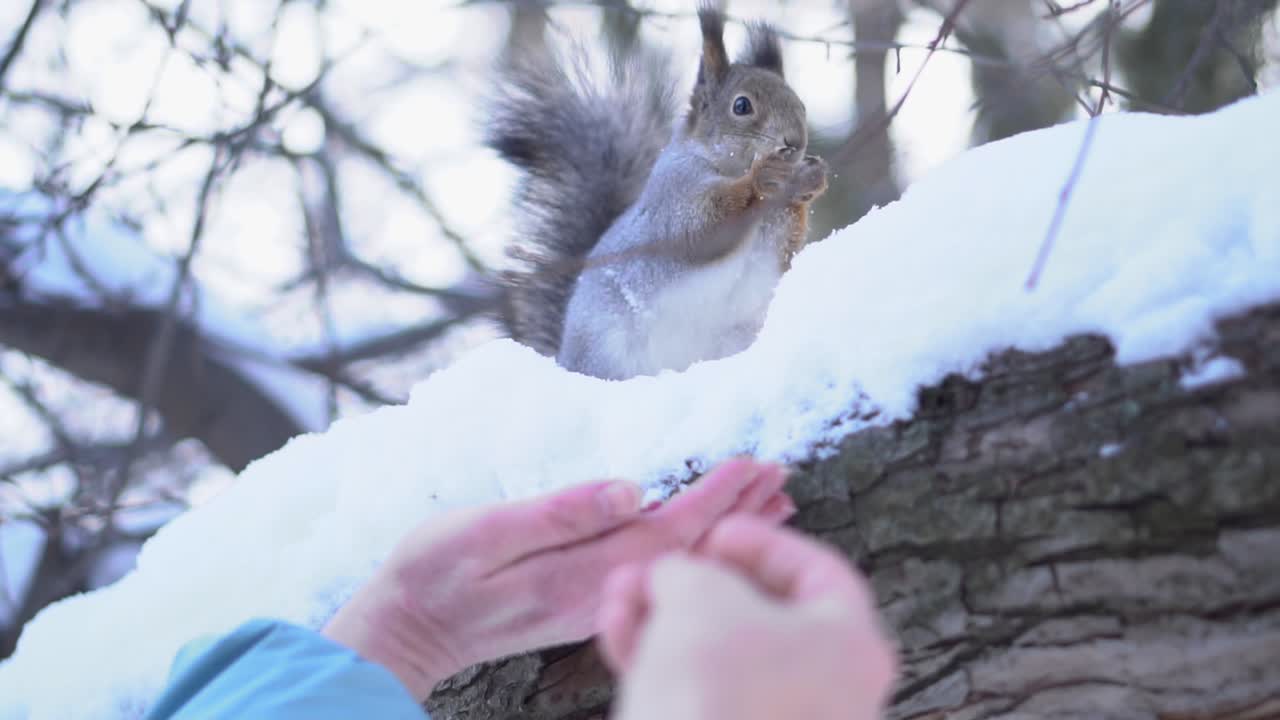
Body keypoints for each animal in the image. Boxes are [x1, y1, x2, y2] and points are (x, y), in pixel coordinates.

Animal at [489, 6, 828, 380]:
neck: (727, 167)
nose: (795, 142)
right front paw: (764, 177)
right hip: (608, 348)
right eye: (741, 106)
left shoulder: (772, 235)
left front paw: (809, 180)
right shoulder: (674, 194)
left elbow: (781, 250)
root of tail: (564, 358)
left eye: (800, 104)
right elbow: (701, 228)